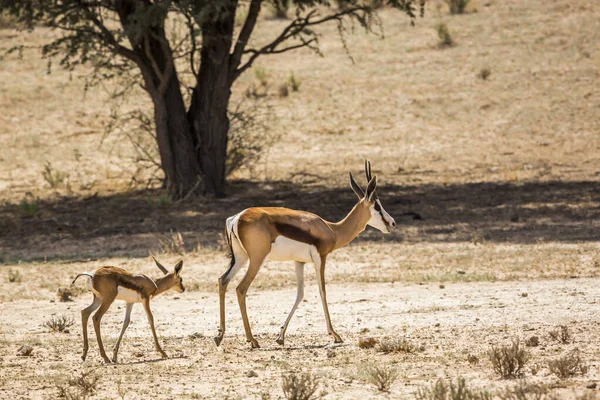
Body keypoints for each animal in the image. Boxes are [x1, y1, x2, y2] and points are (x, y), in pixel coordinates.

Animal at [213, 161, 396, 348]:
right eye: (377, 206)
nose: (392, 223)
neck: (332, 230)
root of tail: (237, 218)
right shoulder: (321, 258)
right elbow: (322, 291)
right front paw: (335, 334)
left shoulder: (299, 262)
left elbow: (300, 294)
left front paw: (281, 336)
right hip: (256, 259)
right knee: (241, 288)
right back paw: (252, 339)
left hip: (241, 258)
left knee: (223, 280)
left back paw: (220, 336)